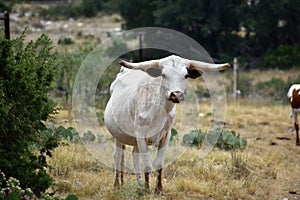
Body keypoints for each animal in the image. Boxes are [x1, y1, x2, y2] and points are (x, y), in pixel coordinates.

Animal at [103, 54, 230, 194]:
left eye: (186, 75)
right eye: (163, 75)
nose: (176, 95)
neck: (158, 109)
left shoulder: (166, 135)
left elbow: (158, 164)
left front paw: (158, 189)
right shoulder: (141, 135)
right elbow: (147, 164)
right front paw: (147, 190)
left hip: (135, 140)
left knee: (134, 157)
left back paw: (139, 185)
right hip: (118, 135)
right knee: (117, 157)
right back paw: (117, 184)